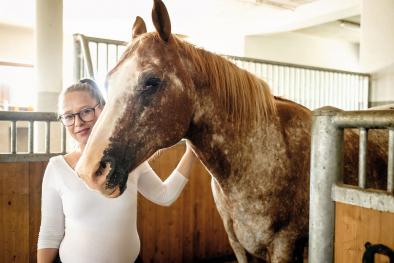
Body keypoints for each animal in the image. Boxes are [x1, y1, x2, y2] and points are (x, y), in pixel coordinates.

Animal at [75, 1, 390, 262]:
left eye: (151, 81)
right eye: (108, 80)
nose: (89, 171)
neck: (260, 158)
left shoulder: (285, 248)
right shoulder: (239, 246)